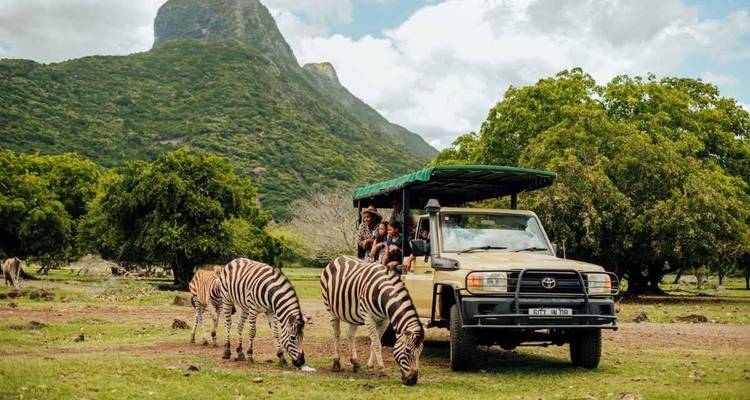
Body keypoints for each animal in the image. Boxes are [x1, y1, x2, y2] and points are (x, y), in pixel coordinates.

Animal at [321, 255, 424, 386]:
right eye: (407, 350)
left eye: (420, 352)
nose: (412, 380)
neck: (383, 294)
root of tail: (339, 257)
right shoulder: (368, 317)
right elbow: (376, 344)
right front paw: (382, 370)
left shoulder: (384, 320)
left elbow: (374, 343)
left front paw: (370, 367)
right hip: (331, 310)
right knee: (336, 335)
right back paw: (336, 363)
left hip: (352, 314)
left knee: (350, 335)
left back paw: (355, 362)